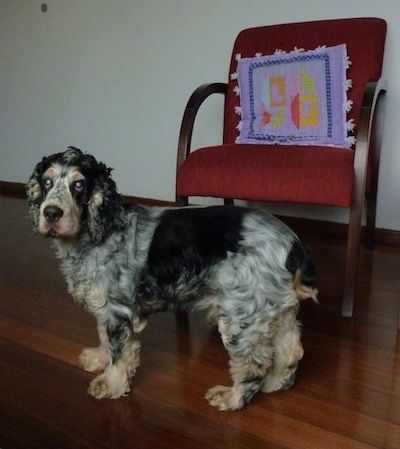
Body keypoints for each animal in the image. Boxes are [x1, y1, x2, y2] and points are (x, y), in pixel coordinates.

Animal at [26, 147, 318, 410]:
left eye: (79, 185)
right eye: (47, 182)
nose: (51, 213)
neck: (99, 233)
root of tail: (293, 245)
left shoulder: (119, 311)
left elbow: (119, 352)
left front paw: (110, 384)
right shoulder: (105, 306)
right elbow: (103, 335)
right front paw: (98, 358)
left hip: (241, 315)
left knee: (252, 365)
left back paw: (232, 398)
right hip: (272, 308)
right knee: (291, 349)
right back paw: (275, 383)